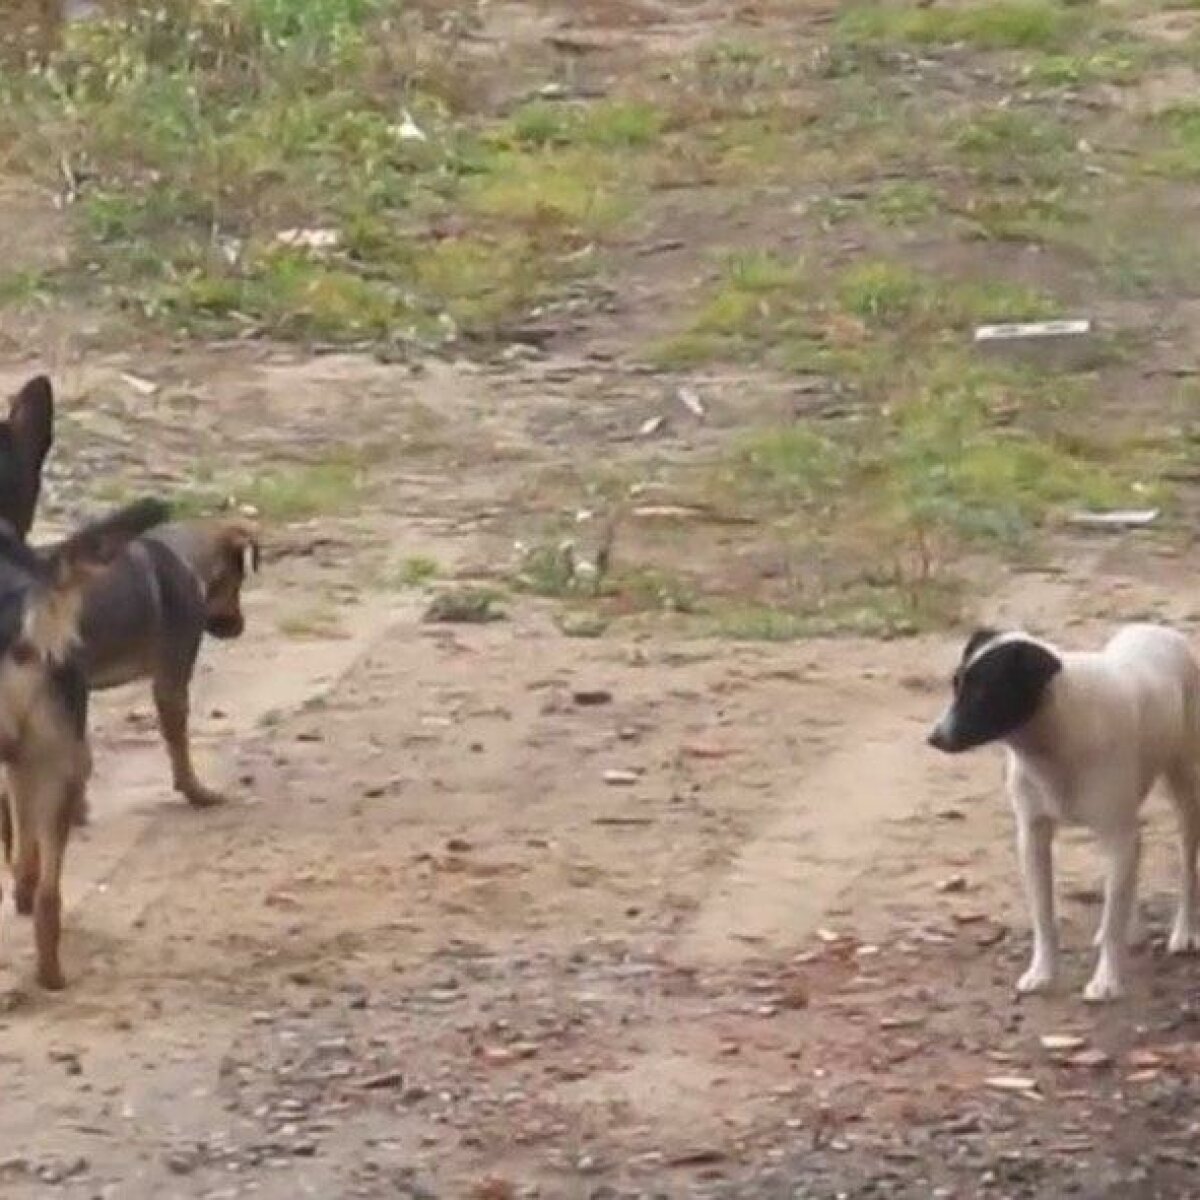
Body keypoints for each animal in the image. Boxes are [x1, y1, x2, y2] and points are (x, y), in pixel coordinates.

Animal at [926, 624, 1200, 998]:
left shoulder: (1119, 834)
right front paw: (1042, 972)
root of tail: (1159, 629)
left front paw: (1106, 980)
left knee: (1187, 868)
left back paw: (1184, 931)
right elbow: (1044, 915)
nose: (934, 738)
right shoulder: (1032, 835)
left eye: (984, 692)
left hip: (1185, 789)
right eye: (956, 684)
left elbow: (1113, 917)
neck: (1056, 734)